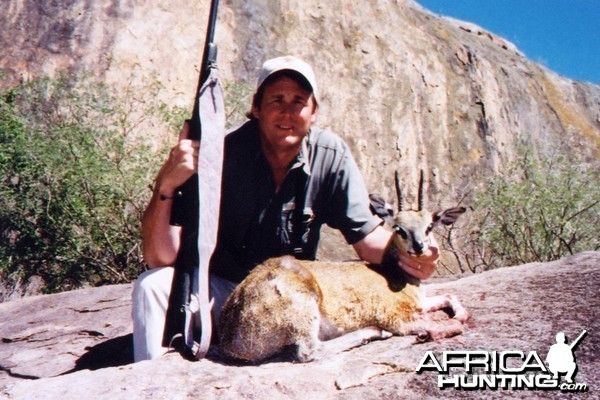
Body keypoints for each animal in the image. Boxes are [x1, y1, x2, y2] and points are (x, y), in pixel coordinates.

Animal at [217, 170, 468, 364]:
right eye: (399, 228)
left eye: (429, 226)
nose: (419, 246)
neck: (394, 275)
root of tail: (230, 334)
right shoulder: (396, 316)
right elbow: (432, 323)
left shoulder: (419, 303)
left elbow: (448, 296)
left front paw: (462, 313)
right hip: (304, 307)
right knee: (309, 351)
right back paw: (374, 331)